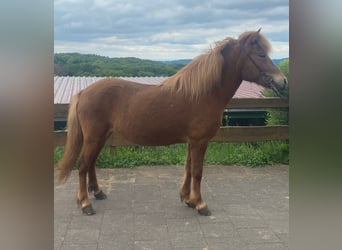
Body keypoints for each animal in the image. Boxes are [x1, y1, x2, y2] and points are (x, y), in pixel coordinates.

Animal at [57, 29, 288, 215]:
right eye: (261, 55)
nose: (283, 81)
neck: (202, 94)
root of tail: (83, 92)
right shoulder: (200, 141)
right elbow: (197, 172)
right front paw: (200, 204)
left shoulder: (192, 141)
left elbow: (188, 168)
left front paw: (187, 198)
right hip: (94, 137)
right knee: (83, 165)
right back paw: (85, 203)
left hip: (100, 137)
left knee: (91, 164)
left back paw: (97, 192)